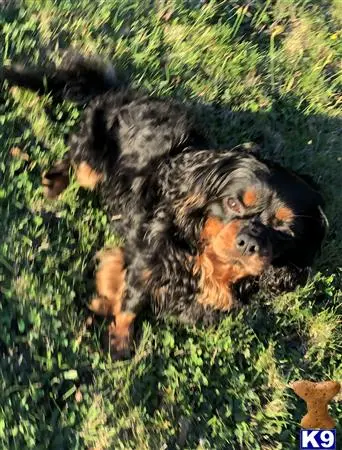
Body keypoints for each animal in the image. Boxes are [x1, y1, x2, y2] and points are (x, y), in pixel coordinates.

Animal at [2, 53, 328, 358]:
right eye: (233, 203)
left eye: (285, 232)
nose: (249, 242)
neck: (205, 256)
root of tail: (117, 92)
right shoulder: (147, 260)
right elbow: (131, 303)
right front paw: (119, 342)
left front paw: (106, 298)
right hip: (91, 166)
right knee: (74, 161)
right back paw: (55, 182)